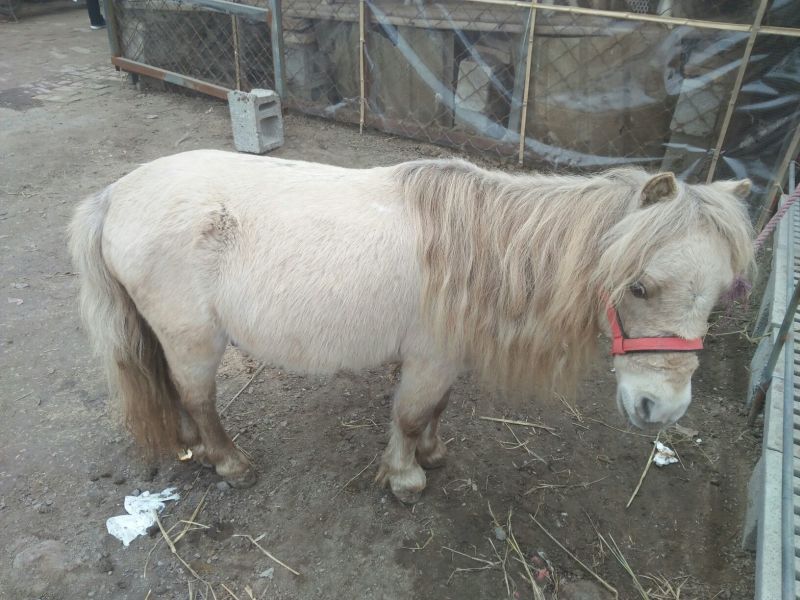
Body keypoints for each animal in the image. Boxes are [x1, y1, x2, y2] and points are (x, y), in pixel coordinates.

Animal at [68, 150, 754, 504]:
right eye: (637, 286)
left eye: (725, 291)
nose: (662, 408)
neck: (489, 249)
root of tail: (115, 195)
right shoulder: (427, 359)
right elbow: (408, 413)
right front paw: (405, 476)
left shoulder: (445, 361)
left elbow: (435, 412)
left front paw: (432, 452)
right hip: (196, 341)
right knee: (198, 398)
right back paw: (229, 462)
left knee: (179, 396)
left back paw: (196, 448)